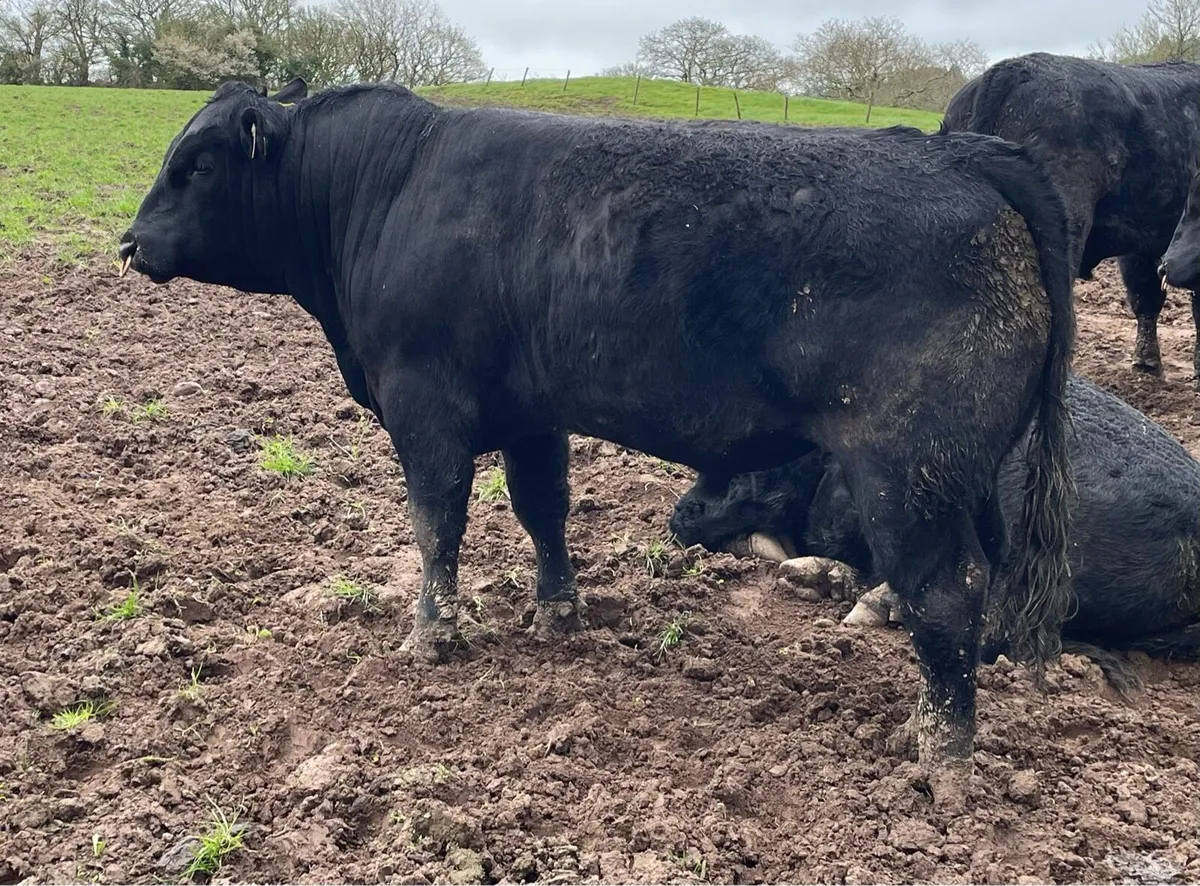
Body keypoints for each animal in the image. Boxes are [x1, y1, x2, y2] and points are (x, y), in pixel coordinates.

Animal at [117, 77, 1075, 791]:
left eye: (198, 164)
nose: (129, 244)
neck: (387, 191)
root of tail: (955, 152)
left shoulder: (427, 407)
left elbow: (436, 523)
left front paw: (432, 635)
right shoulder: (529, 413)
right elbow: (543, 509)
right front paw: (558, 615)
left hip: (908, 471)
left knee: (943, 593)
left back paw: (942, 762)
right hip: (964, 477)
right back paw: (922, 727)